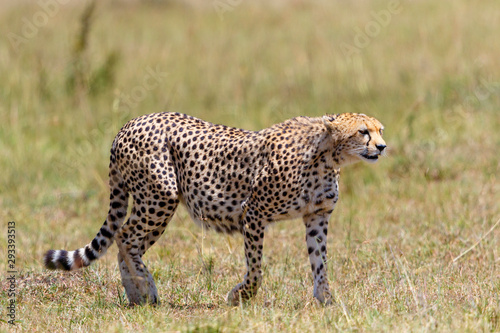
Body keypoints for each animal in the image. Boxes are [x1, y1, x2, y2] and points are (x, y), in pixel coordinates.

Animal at [44, 112, 386, 306]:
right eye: (363, 132)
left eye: (380, 129)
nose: (382, 147)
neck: (328, 156)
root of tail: (129, 124)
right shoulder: (254, 213)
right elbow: (256, 269)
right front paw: (240, 297)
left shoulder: (316, 216)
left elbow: (320, 261)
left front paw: (325, 299)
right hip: (161, 195)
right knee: (126, 236)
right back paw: (146, 288)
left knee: (124, 239)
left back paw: (137, 295)